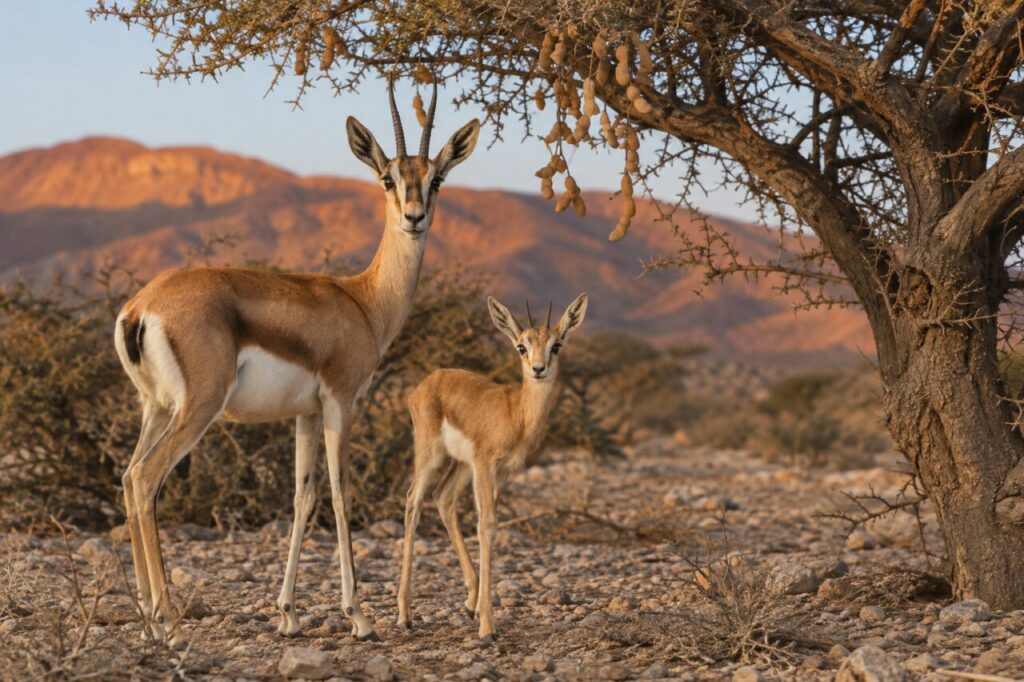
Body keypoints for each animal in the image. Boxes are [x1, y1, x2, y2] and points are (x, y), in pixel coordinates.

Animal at [113, 82, 480, 646]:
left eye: (435, 178)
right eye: (388, 178)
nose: (414, 217)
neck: (363, 302)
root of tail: (140, 308)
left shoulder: (305, 414)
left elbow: (302, 498)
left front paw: (287, 614)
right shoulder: (341, 402)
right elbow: (340, 492)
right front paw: (359, 617)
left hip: (155, 407)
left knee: (130, 479)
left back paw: (149, 623)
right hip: (198, 407)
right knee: (146, 478)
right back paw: (169, 622)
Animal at [397, 293, 589, 641]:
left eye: (556, 345)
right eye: (521, 346)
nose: (538, 369)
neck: (516, 413)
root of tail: (428, 381)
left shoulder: (502, 472)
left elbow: (491, 525)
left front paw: (482, 614)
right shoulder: (486, 465)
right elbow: (486, 525)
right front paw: (488, 627)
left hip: (461, 466)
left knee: (442, 498)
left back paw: (469, 602)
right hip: (431, 455)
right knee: (413, 501)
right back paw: (405, 616)